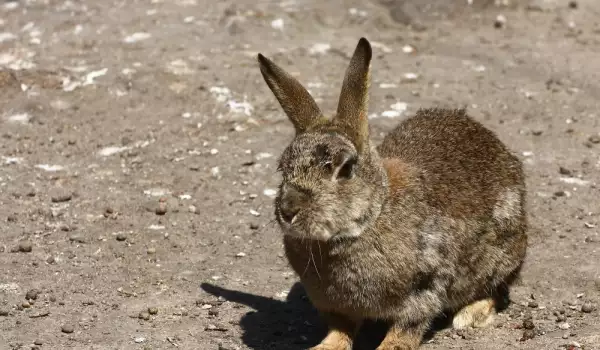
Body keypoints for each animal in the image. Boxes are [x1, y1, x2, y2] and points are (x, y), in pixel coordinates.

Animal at [255, 37, 528, 348]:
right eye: (283, 167)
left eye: (345, 169)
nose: (288, 210)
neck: (371, 218)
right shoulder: (335, 305)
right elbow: (341, 329)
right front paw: (324, 346)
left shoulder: (426, 286)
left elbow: (406, 328)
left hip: (500, 254)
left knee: (495, 289)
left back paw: (469, 316)